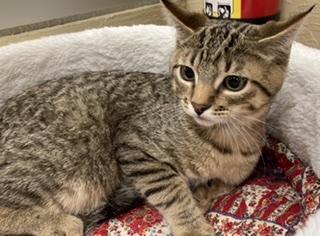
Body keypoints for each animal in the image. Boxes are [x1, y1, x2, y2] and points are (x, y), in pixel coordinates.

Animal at [0, 1, 312, 236]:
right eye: (187, 73)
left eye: (234, 82)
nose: (198, 105)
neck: (228, 139)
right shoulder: (134, 145)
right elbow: (172, 190)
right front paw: (193, 227)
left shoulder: (241, 170)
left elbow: (225, 182)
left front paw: (204, 194)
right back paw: (62, 223)